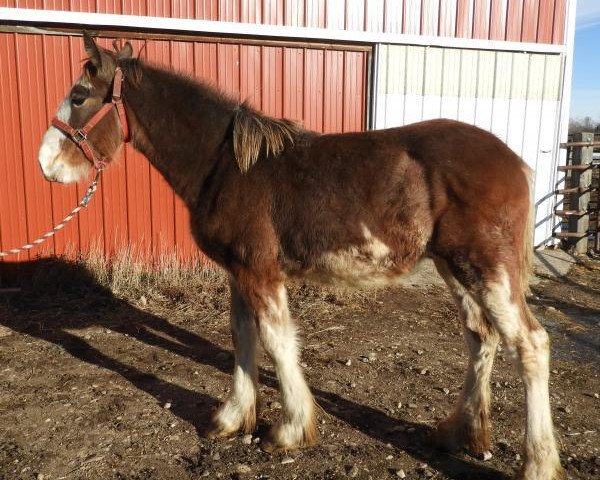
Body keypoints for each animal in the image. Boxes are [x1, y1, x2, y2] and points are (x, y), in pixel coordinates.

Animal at [37, 33, 564, 480]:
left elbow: (277, 342)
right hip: (455, 267)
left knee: (531, 344)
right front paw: (232, 418)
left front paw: (289, 430)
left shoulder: (260, 273)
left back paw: (537, 462)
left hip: (486, 268)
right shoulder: (239, 273)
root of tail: (514, 161)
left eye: (79, 96)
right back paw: (460, 433)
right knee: (481, 336)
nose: (44, 164)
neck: (226, 166)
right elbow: (243, 338)